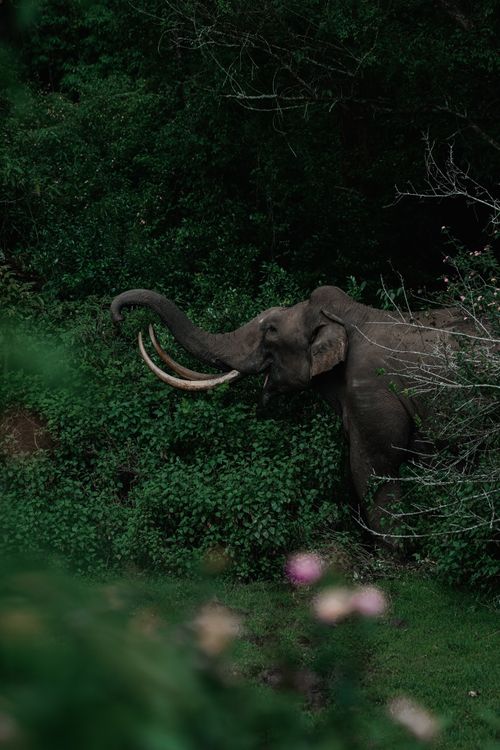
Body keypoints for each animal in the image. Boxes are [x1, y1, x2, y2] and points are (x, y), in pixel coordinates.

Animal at [110, 285, 475, 539]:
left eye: (270, 330)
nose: (119, 318)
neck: (349, 314)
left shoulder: (372, 388)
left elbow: (374, 469)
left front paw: (396, 560)